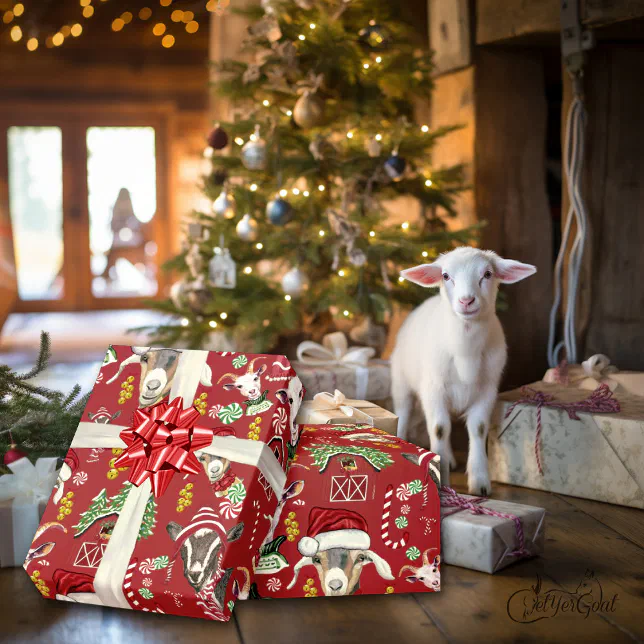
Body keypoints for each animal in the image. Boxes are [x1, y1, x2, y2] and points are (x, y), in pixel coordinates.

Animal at [392, 247, 536, 495]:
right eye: (446, 276)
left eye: (487, 274)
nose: (466, 300)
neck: (465, 351)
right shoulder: (433, 390)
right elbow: (439, 429)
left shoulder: (487, 390)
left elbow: (477, 429)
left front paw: (480, 483)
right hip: (401, 382)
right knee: (404, 413)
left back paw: (448, 459)